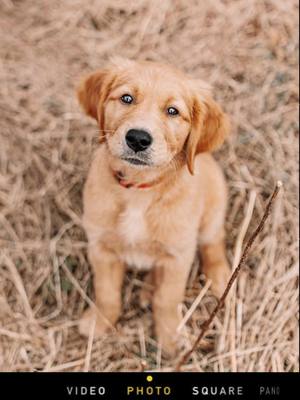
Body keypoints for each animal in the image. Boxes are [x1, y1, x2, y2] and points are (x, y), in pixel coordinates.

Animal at [76, 57, 231, 354]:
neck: (139, 191)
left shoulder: (178, 255)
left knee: (213, 243)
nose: (138, 138)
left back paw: (219, 277)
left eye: (173, 111)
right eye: (127, 98)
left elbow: (167, 300)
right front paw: (100, 322)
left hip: (214, 207)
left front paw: (170, 338)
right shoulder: (101, 247)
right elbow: (107, 292)